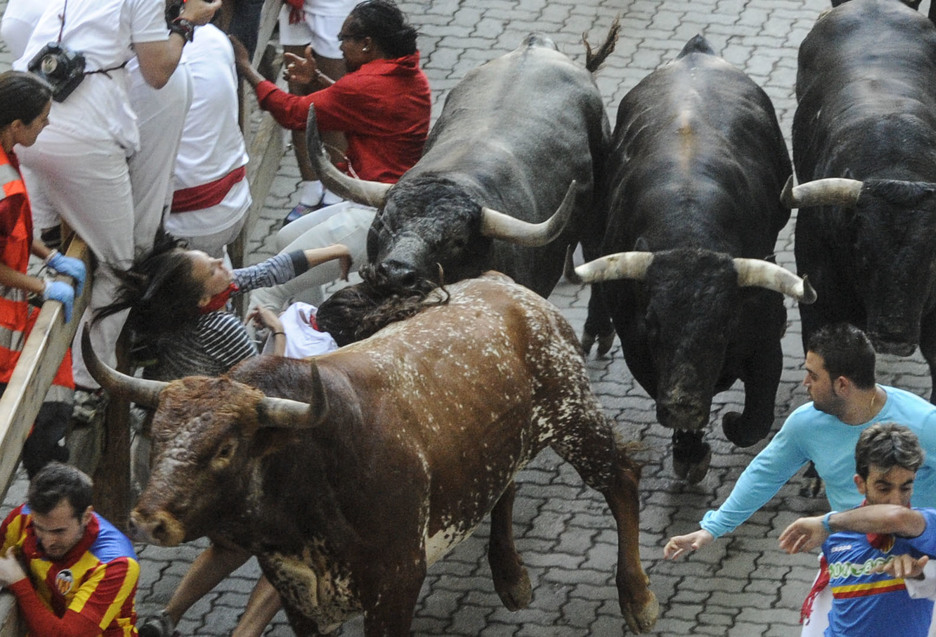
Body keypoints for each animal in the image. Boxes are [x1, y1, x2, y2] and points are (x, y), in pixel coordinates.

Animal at [84, 274, 660, 636]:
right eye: (157, 434)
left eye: (226, 447)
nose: (147, 519)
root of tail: (508, 287)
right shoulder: (301, 603)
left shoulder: (397, 586)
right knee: (507, 484)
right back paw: (510, 576)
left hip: (574, 418)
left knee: (623, 478)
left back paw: (638, 599)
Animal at [576, 34, 816, 482]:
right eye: (654, 322)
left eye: (724, 324)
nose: (683, 404)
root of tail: (695, 52)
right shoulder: (639, 347)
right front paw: (688, 452)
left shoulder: (764, 341)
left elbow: (755, 420)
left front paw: (724, 428)